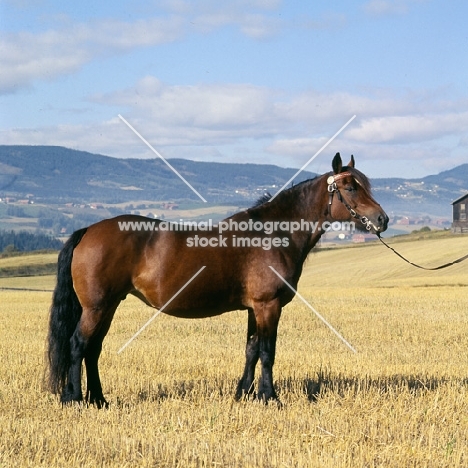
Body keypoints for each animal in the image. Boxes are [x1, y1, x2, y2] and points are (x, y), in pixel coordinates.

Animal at [46, 153, 388, 406]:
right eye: (351, 187)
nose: (382, 219)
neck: (273, 233)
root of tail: (88, 230)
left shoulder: (254, 308)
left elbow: (251, 350)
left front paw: (243, 394)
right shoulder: (268, 306)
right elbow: (267, 352)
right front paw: (270, 397)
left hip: (108, 306)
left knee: (93, 349)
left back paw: (99, 399)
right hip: (97, 307)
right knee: (78, 345)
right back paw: (74, 398)